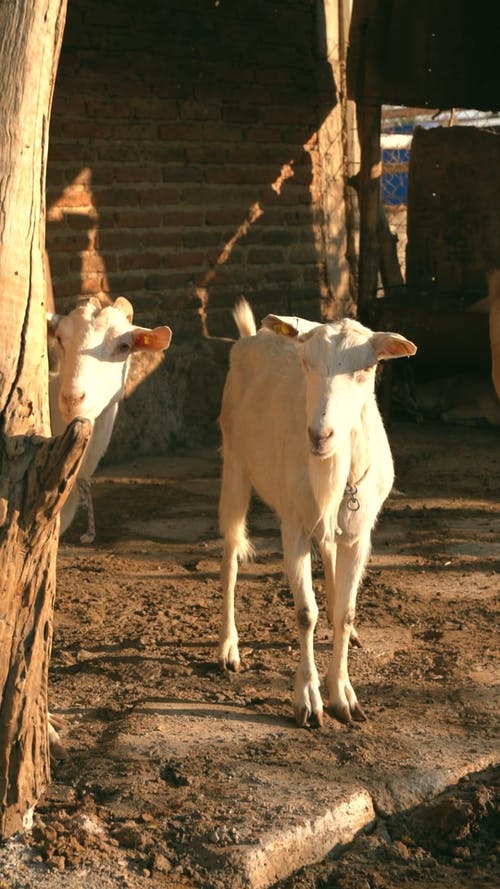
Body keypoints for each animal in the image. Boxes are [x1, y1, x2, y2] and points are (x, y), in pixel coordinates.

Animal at [217, 298, 416, 728]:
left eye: (367, 368)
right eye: (305, 362)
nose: (320, 436)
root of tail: (250, 337)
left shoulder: (359, 532)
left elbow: (345, 611)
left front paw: (344, 696)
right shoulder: (292, 525)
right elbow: (305, 612)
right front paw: (308, 701)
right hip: (234, 463)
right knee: (231, 553)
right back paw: (228, 648)